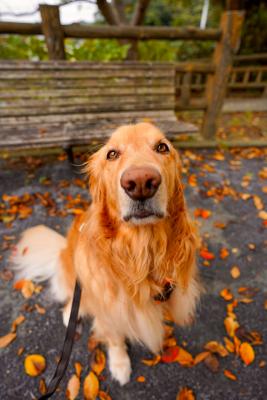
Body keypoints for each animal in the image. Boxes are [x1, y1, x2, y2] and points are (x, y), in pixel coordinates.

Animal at [12, 122, 201, 384]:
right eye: (112, 154)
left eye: (162, 147)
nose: (141, 182)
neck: (140, 252)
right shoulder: (107, 310)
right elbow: (114, 338)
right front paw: (120, 365)